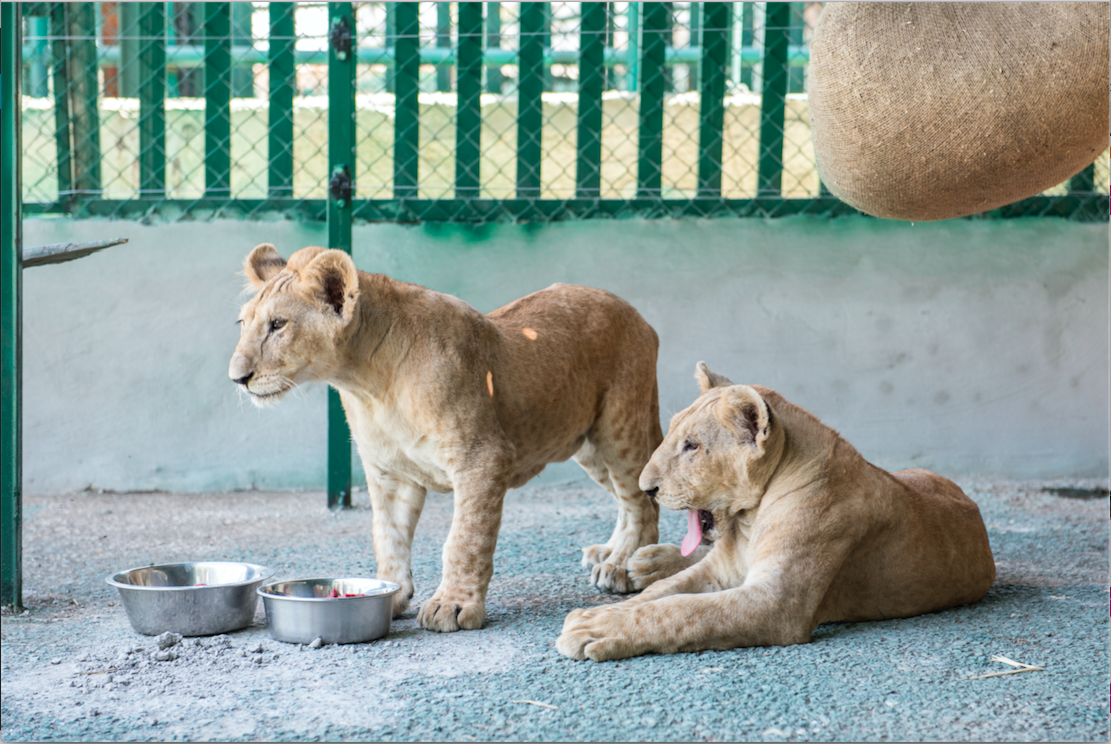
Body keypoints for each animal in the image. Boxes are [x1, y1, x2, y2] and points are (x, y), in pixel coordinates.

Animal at [228, 244, 662, 632]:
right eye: (243, 323)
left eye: (278, 324)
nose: (237, 378)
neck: (368, 382)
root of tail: (637, 314)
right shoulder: (390, 472)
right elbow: (388, 535)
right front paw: (391, 592)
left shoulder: (483, 458)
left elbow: (464, 539)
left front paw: (452, 605)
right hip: (588, 447)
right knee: (628, 500)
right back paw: (610, 553)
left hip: (619, 429)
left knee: (643, 502)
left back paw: (625, 567)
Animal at [557, 362, 996, 661]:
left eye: (692, 446)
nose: (646, 487)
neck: (750, 521)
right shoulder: (718, 570)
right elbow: (661, 596)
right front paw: (600, 613)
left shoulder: (777, 601)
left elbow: (684, 611)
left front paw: (594, 626)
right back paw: (640, 563)